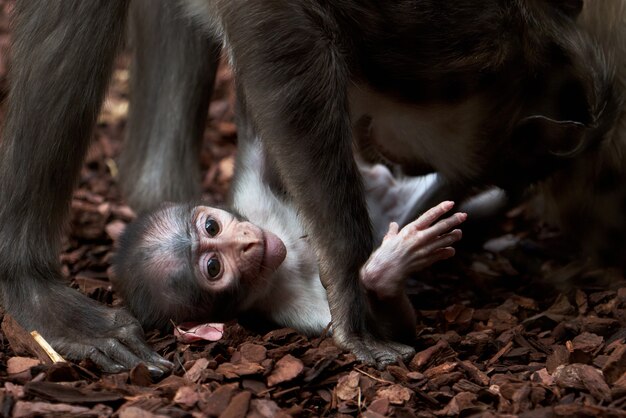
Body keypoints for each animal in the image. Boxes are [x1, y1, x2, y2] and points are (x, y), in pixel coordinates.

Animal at [111, 139, 464, 342]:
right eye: (213, 267)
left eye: (211, 226)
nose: (246, 243)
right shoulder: (293, 313)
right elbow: (393, 336)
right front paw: (387, 270)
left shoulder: (249, 200)